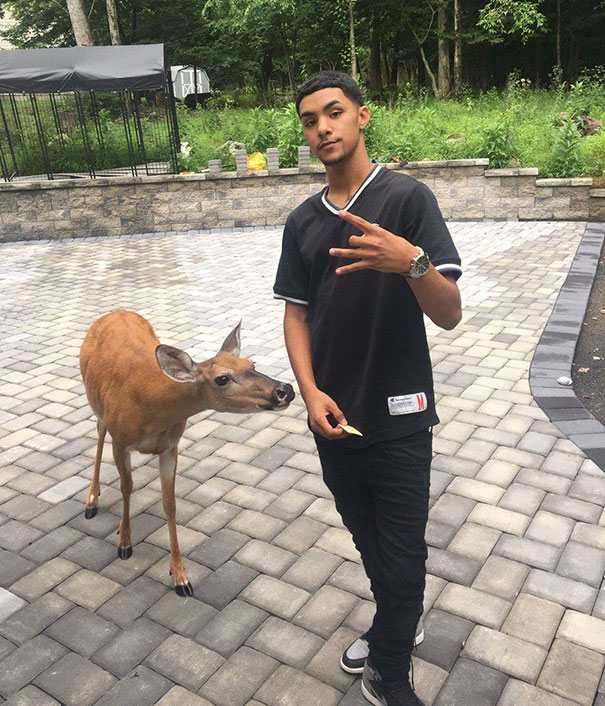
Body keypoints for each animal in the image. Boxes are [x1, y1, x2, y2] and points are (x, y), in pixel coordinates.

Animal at [80, 309, 294, 596]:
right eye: (222, 378)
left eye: (252, 362)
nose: (285, 390)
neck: (151, 409)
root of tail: (117, 312)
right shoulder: (121, 440)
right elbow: (127, 487)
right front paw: (124, 542)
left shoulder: (171, 445)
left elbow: (170, 504)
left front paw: (180, 576)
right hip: (97, 406)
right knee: (99, 431)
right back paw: (92, 500)